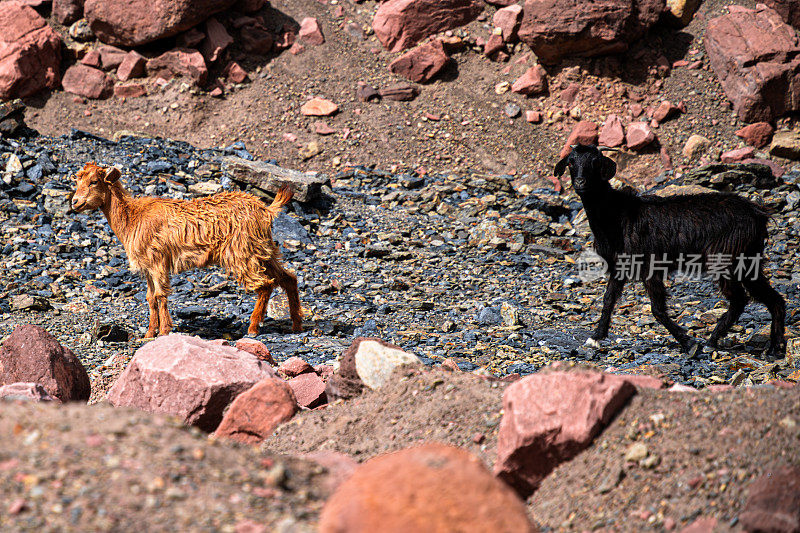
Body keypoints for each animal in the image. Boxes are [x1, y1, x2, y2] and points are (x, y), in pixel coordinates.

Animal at [71, 161, 304, 336]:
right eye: (78, 180)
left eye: (94, 181)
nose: (75, 202)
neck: (133, 217)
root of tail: (266, 209)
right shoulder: (147, 267)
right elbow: (150, 298)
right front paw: (149, 333)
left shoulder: (157, 261)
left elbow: (160, 296)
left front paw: (164, 331)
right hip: (262, 249)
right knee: (288, 278)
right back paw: (296, 325)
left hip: (241, 251)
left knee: (265, 284)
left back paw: (253, 328)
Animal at [556, 143, 788, 356]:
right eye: (571, 162)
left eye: (595, 162)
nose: (580, 183)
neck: (615, 215)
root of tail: (757, 213)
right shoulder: (619, 266)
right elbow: (608, 300)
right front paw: (596, 337)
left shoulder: (649, 265)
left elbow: (657, 309)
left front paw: (688, 343)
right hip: (748, 259)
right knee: (773, 298)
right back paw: (775, 347)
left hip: (725, 259)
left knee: (740, 299)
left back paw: (713, 340)